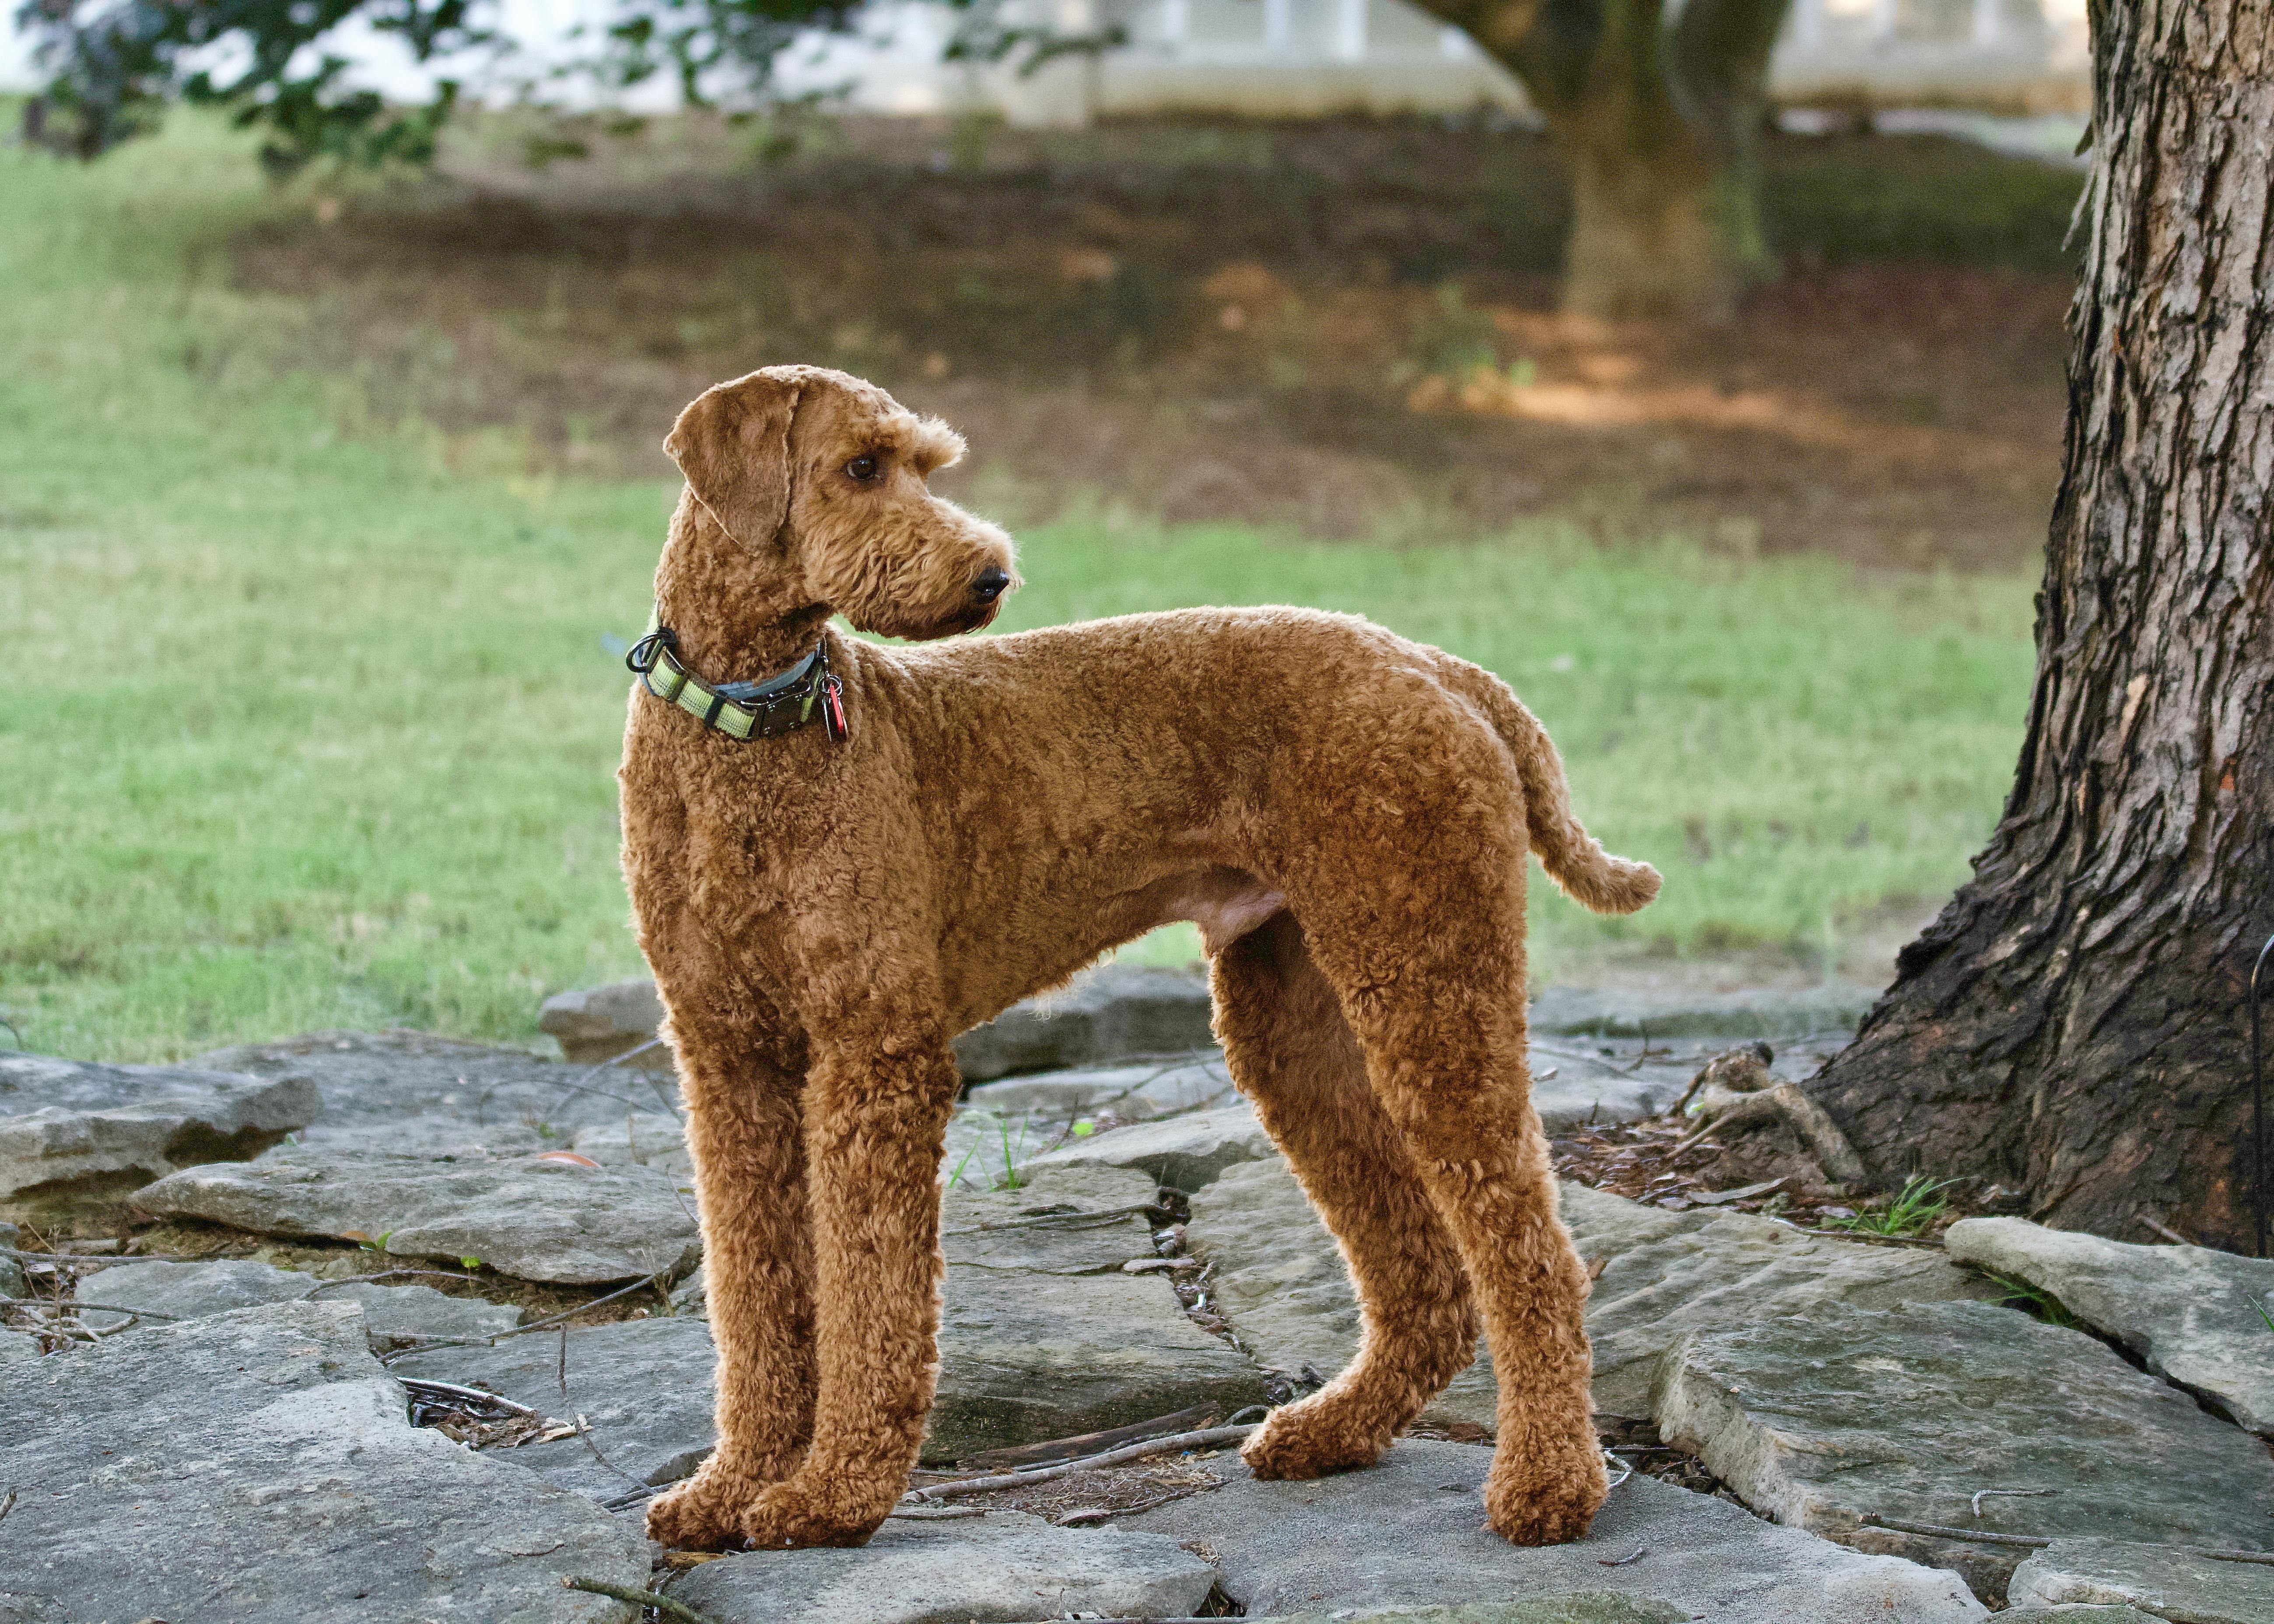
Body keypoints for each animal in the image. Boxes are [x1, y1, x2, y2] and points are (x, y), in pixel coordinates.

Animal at [618, 361, 1655, 1547]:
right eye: (862, 465)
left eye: (925, 463)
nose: (992, 574)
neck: (749, 729)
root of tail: (1435, 664)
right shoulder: (730, 1062)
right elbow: (756, 1299)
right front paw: (730, 1486)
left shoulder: (875, 1056)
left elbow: (869, 1300)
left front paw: (832, 1492)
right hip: (1295, 1018)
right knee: (1427, 1275)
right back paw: (1332, 1430)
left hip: (1426, 975)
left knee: (1531, 1252)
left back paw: (1548, 1483)